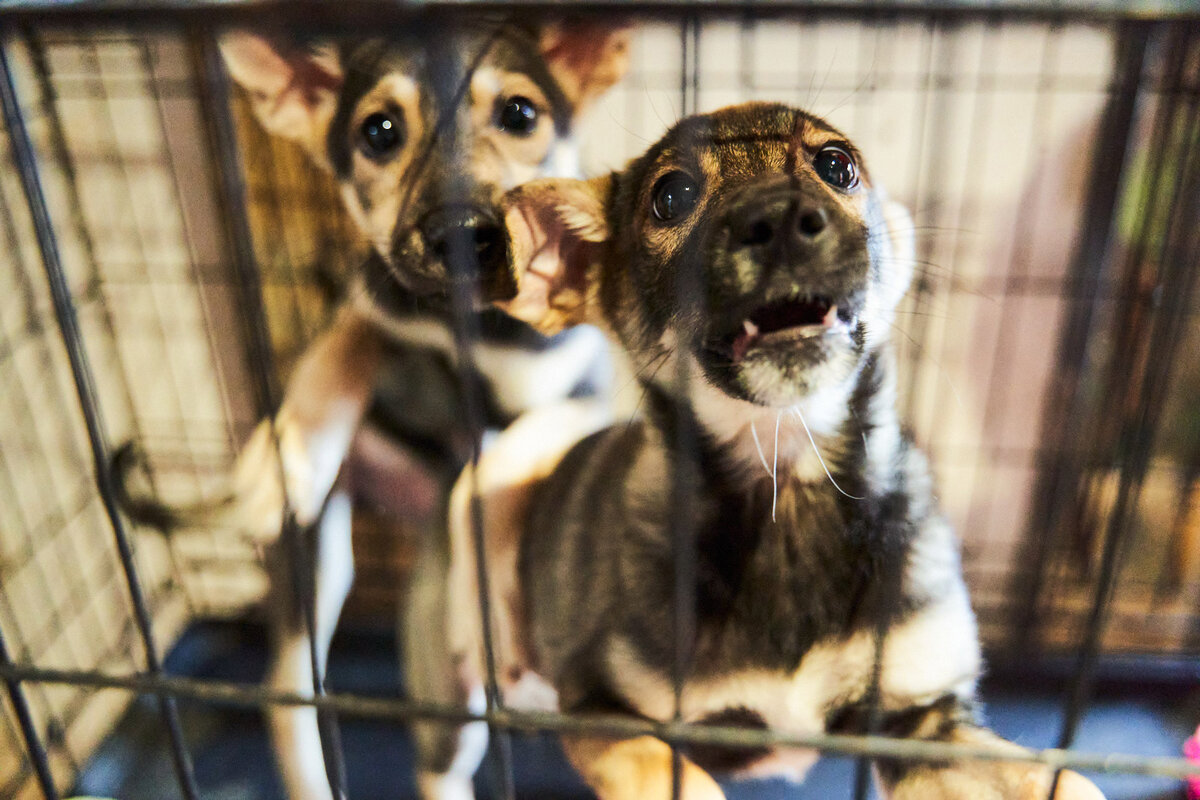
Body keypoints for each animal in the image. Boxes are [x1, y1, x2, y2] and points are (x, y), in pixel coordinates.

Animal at [118, 17, 633, 800]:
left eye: (520, 114)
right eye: (379, 131)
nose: (459, 233)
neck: (478, 329)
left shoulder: (592, 396)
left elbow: (515, 445)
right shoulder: (380, 296)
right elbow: (350, 334)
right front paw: (292, 450)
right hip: (318, 560)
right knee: (290, 695)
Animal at [444, 103, 1104, 800]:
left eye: (837, 166)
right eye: (670, 197)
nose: (781, 219)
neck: (784, 484)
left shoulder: (921, 720)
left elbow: (1068, 783)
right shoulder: (600, 710)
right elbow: (667, 772)